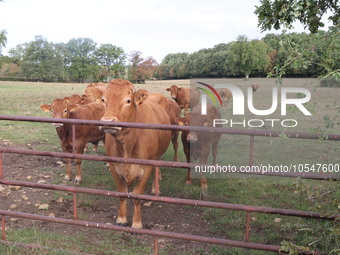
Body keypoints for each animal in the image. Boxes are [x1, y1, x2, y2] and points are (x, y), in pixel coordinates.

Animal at [99, 78, 171, 228]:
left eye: (128, 101)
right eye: (103, 100)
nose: (107, 121)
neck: (127, 147)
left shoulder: (147, 167)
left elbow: (137, 194)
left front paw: (137, 222)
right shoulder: (113, 166)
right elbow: (122, 193)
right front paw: (121, 218)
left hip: (157, 156)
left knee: (157, 168)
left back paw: (155, 189)